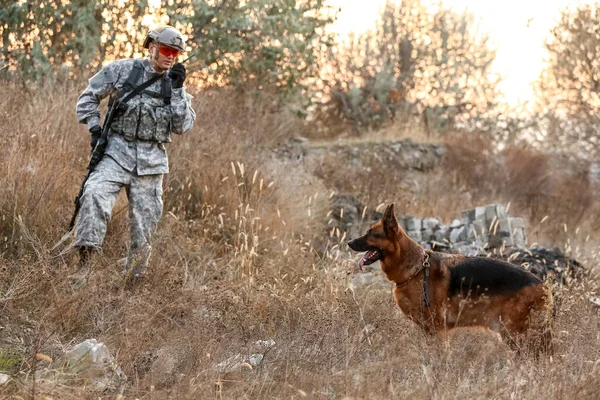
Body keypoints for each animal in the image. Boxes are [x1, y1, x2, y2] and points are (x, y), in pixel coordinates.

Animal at [350, 205, 556, 352]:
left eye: (370, 234)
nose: (348, 242)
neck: (416, 269)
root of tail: (543, 285)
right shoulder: (427, 330)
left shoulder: (437, 329)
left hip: (515, 334)